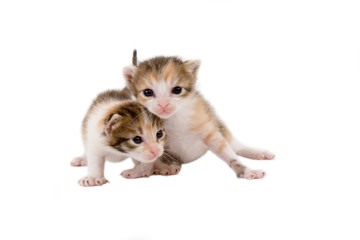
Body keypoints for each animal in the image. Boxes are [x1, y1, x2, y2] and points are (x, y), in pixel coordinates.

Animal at [122, 49, 274, 179]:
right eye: (148, 92)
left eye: (177, 90)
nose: (163, 104)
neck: (174, 118)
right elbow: (149, 154)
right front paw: (141, 170)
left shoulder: (207, 125)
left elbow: (228, 153)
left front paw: (248, 171)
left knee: (235, 145)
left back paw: (259, 153)